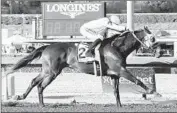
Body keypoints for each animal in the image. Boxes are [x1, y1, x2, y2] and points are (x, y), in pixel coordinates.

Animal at [5, 26, 160, 107]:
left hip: (47, 70)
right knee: (40, 85)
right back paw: (41, 104)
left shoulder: (114, 74)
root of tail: (47, 46)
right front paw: (153, 92)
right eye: (152, 38)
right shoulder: (121, 70)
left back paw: (22, 97)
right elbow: (137, 80)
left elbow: (116, 91)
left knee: (34, 81)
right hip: (52, 72)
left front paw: (119, 106)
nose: (159, 51)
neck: (117, 47)